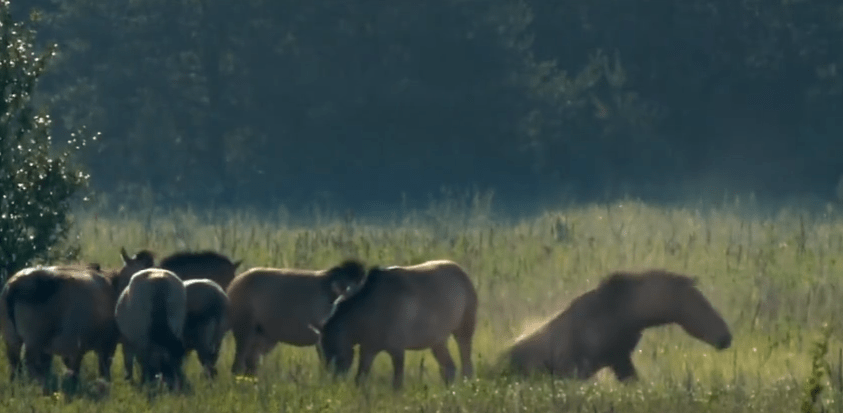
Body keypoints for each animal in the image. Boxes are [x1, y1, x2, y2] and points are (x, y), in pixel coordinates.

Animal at [226, 260, 368, 374]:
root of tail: (234, 283)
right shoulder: (324, 337)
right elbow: (331, 363)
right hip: (245, 329)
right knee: (238, 364)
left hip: (265, 335)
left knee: (251, 363)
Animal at [312, 260, 482, 390]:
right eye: (322, 354)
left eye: (334, 352)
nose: (335, 383)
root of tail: (460, 270)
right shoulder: (368, 349)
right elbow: (360, 379)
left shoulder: (397, 350)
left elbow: (397, 384)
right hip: (437, 342)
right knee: (449, 369)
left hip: (463, 333)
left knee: (466, 367)